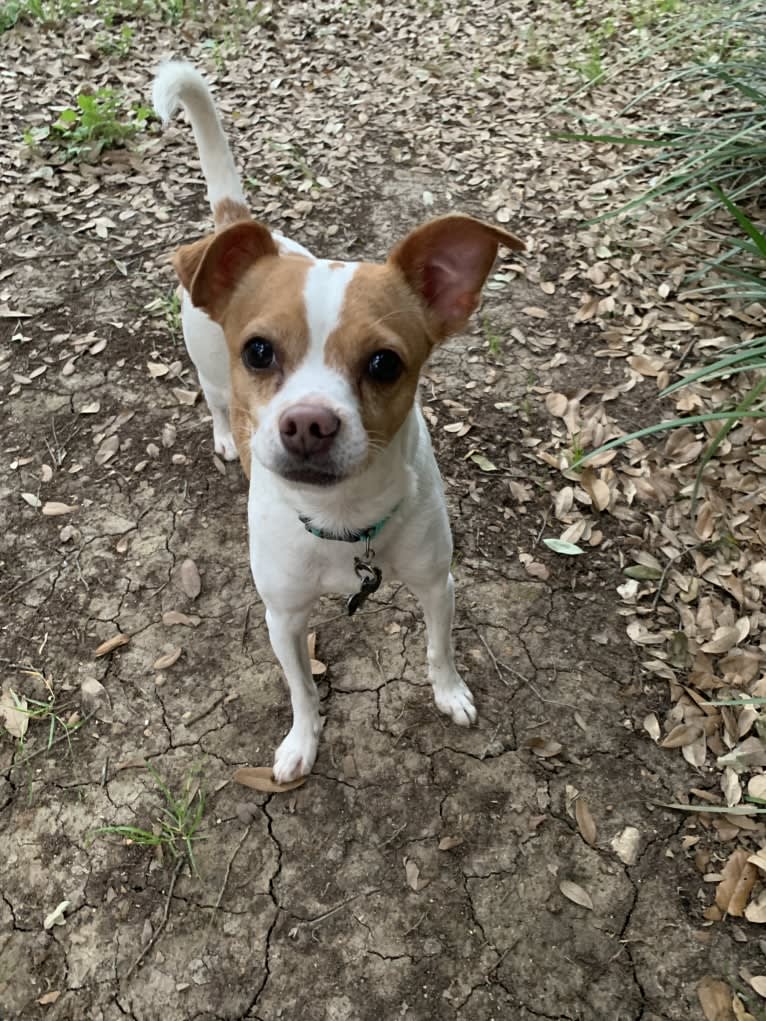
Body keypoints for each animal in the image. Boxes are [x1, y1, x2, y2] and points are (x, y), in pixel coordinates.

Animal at [153, 63, 527, 780]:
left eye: (384, 363)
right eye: (259, 351)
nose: (308, 424)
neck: (344, 520)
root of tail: (237, 221)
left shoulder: (437, 583)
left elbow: (439, 648)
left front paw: (449, 692)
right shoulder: (282, 617)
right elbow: (301, 687)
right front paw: (302, 740)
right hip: (205, 365)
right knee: (214, 399)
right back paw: (224, 435)